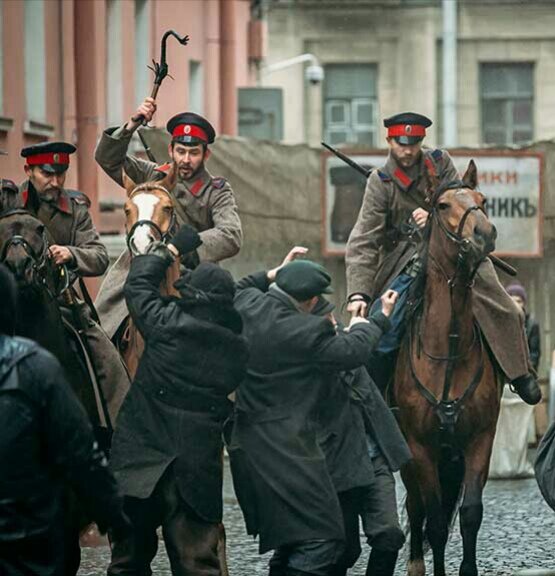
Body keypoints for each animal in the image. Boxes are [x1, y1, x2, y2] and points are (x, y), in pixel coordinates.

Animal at [396, 160, 504, 576]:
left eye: (482, 200)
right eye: (442, 205)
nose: (484, 233)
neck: (449, 351)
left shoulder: (479, 440)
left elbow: (470, 513)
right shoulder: (419, 447)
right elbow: (437, 522)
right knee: (417, 508)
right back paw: (415, 563)